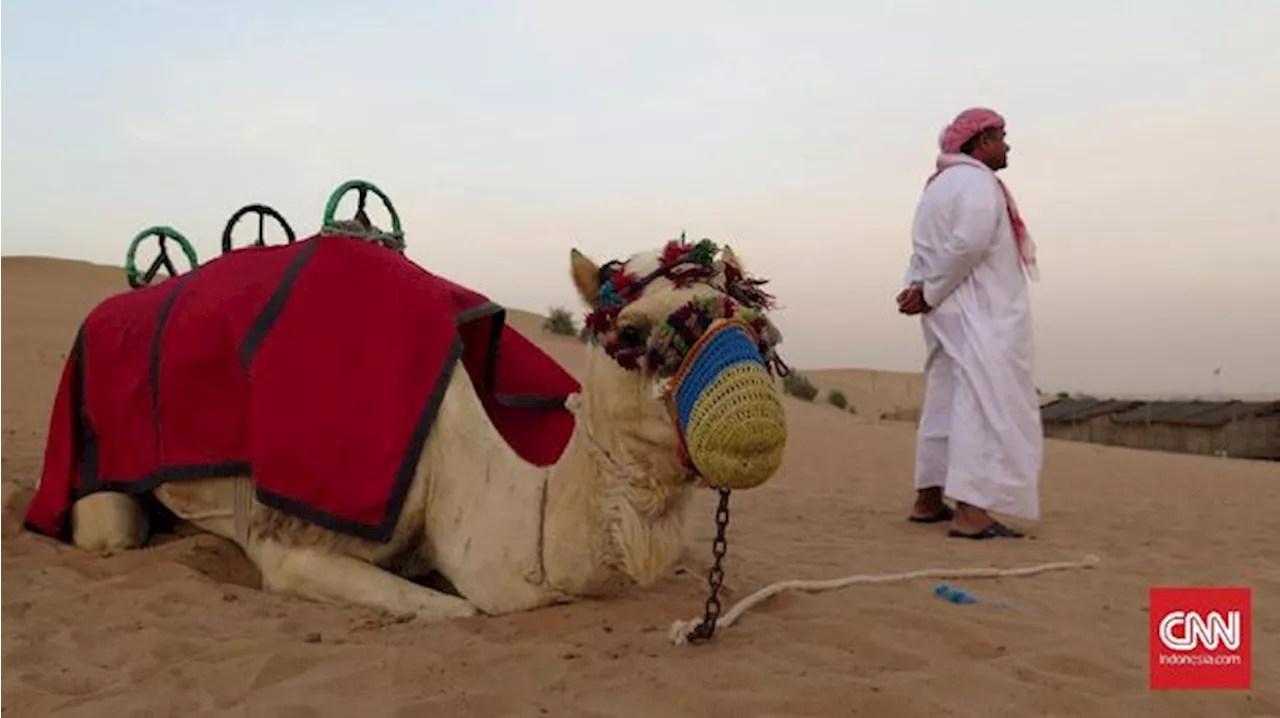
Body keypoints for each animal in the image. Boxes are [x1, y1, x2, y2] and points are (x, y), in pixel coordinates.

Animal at [60, 238, 788, 619]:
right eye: (631, 332)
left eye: (760, 330)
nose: (753, 425)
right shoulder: (293, 540)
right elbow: (463, 608)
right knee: (111, 528)